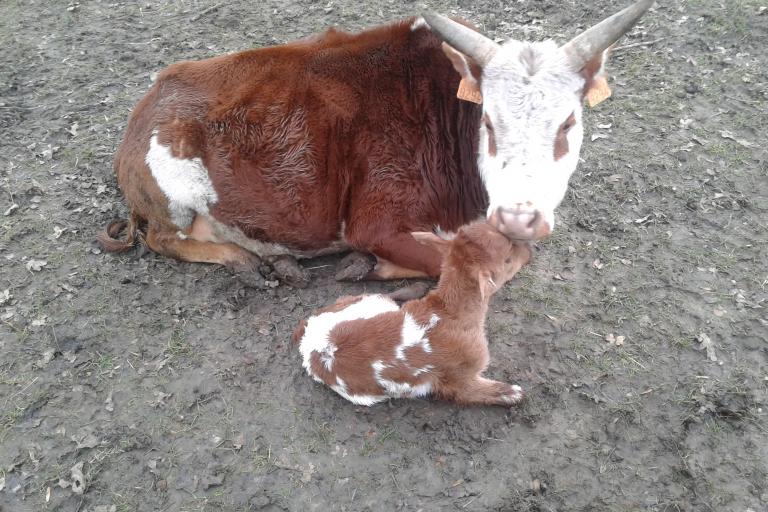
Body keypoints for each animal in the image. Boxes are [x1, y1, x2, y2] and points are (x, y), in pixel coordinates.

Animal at [100, 0, 656, 284]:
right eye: (490, 124)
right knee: (164, 239)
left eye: (567, 123)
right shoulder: (375, 220)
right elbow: (469, 264)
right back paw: (248, 262)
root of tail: (151, 96)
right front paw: (368, 263)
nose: (519, 217)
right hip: (172, 193)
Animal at [294, 220, 536, 408]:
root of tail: (306, 333)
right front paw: (516, 393)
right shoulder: (460, 376)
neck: (447, 312)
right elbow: (491, 393)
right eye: (508, 257)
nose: (530, 250)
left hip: (365, 301)